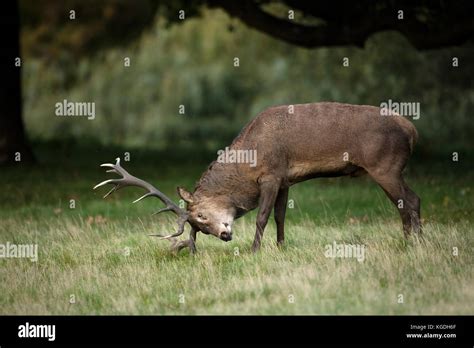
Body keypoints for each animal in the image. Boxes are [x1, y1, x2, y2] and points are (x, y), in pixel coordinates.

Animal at [94, 100, 420, 253]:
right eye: (201, 229)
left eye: (200, 217)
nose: (224, 235)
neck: (248, 161)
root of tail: (412, 130)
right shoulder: (286, 180)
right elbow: (280, 216)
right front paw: (281, 247)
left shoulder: (271, 174)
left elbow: (262, 216)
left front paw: (254, 250)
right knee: (410, 200)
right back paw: (413, 240)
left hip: (385, 165)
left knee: (410, 200)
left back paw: (411, 243)